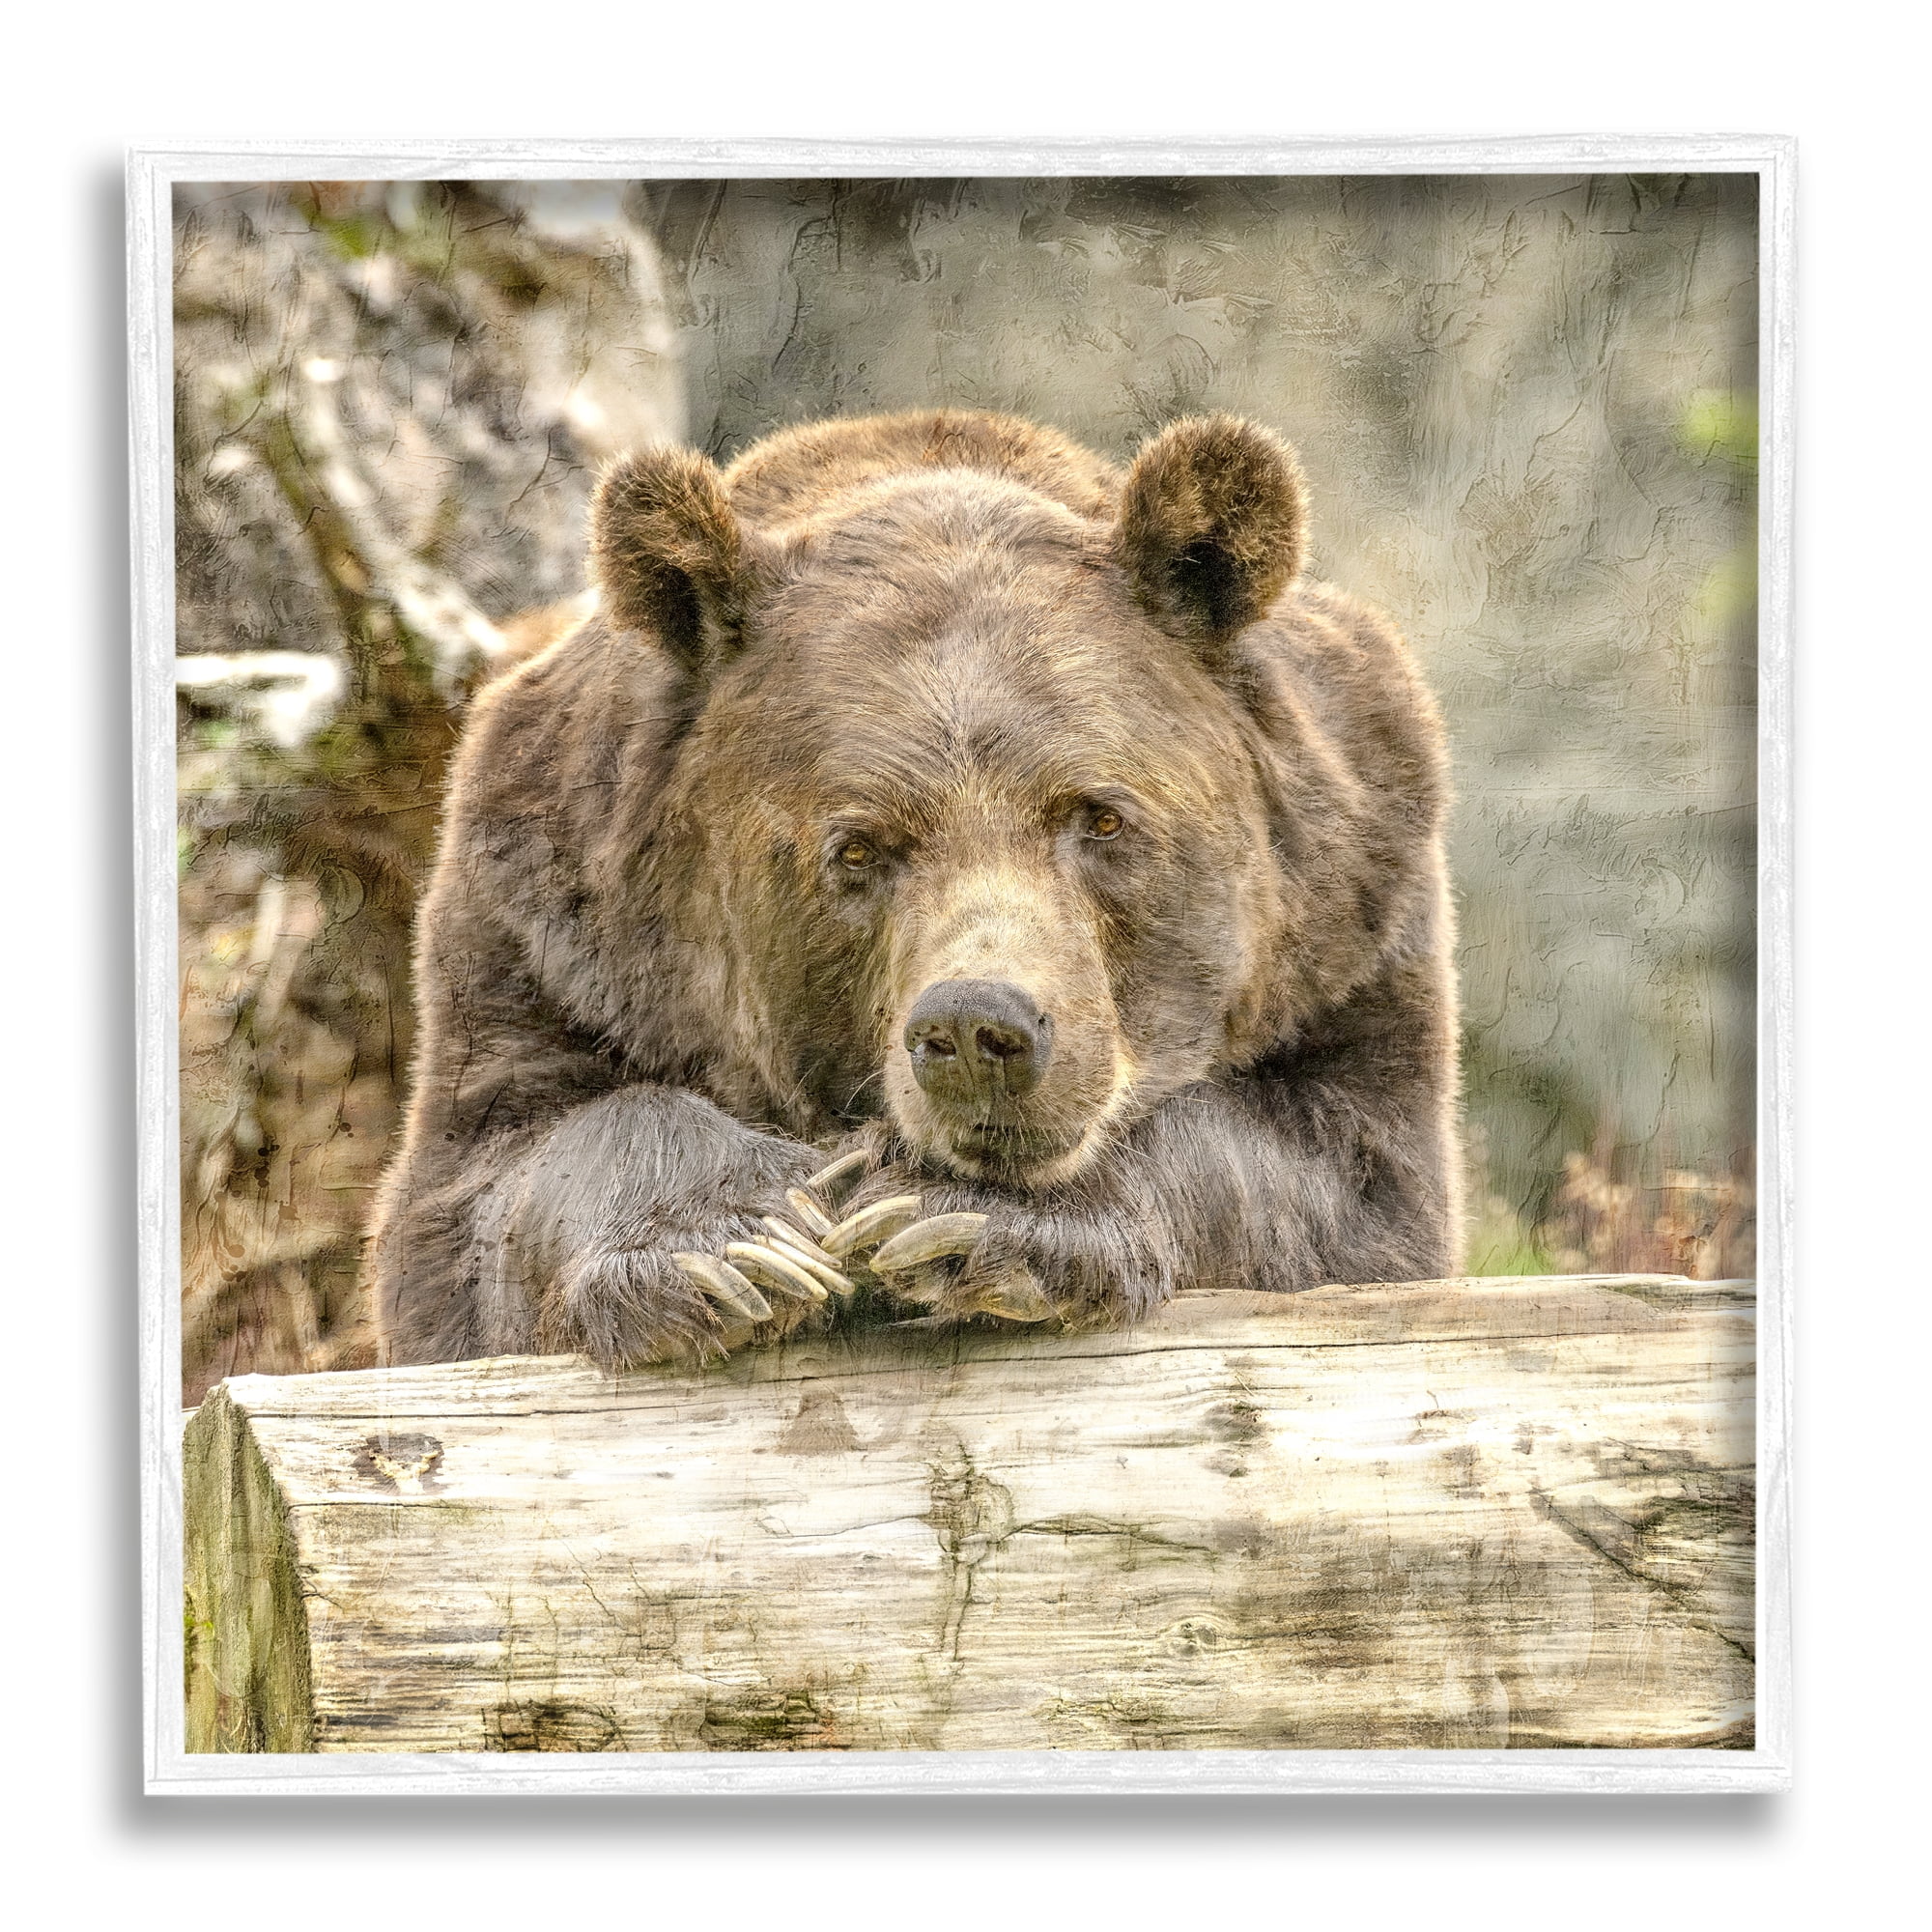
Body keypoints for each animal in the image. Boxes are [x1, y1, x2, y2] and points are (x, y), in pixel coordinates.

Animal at [368, 407, 1461, 1368]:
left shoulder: (1351, 919)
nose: (978, 1028)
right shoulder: (547, 931)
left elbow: (1335, 1176)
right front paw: (740, 1245)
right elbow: (489, 1182)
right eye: (857, 849)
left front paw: (958, 1217)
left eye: (1099, 816)